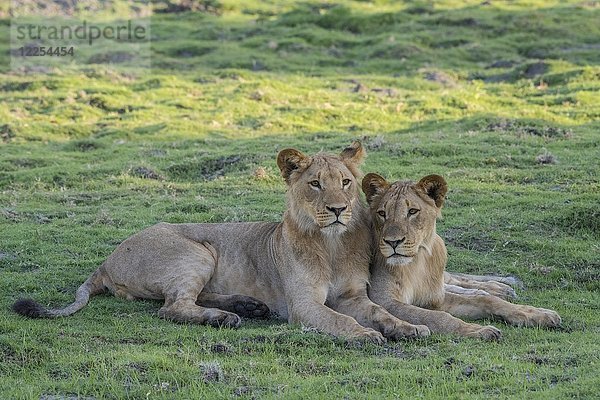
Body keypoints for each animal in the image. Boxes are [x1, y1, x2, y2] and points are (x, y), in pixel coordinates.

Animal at [11, 142, 428, 342]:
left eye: (345, 182)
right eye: (314, 184)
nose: (339, 209)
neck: (333, 244)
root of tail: (105, 261)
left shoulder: (354, 295)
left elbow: (380, 312)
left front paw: (406, 328)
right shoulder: (304, 305)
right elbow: (339, 319)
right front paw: (365, 336)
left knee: (185, 299)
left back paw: (247, 307)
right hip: (196, 250)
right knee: (172, 307)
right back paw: (226, 317)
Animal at [360, 173, 564, 340]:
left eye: (412, 212)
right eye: (382, 213)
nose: (393, 242)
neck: (418, 262)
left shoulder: (434, 298)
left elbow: (485, 301)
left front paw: (537, 313)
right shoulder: (383, 301)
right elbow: (437, 317)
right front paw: (478, 330)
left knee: (454, 280)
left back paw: (501, 287)